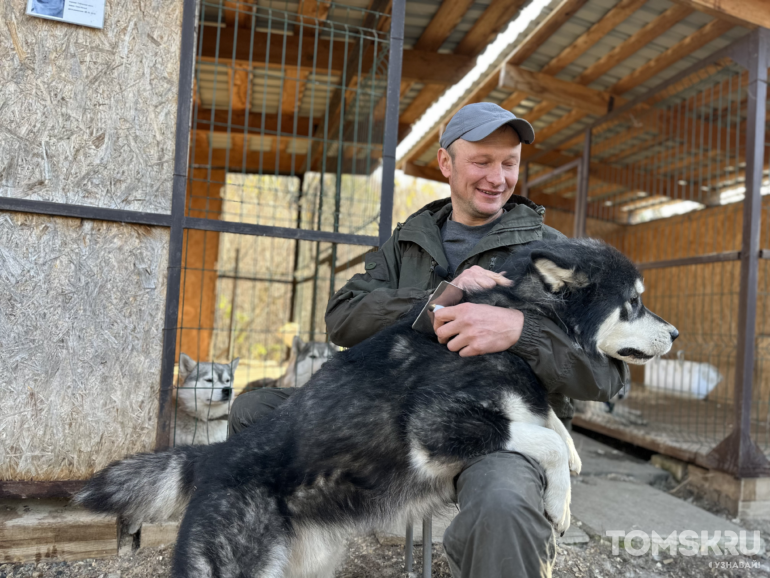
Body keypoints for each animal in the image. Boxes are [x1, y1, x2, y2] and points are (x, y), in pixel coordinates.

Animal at [78, 237, 676, 576]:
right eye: (634, 302)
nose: (674, 332)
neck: (515, 323)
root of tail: (215, 456)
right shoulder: (433, 429)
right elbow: (543, 438)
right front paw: (560, 500)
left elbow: (547, 418)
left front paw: (572, 451)